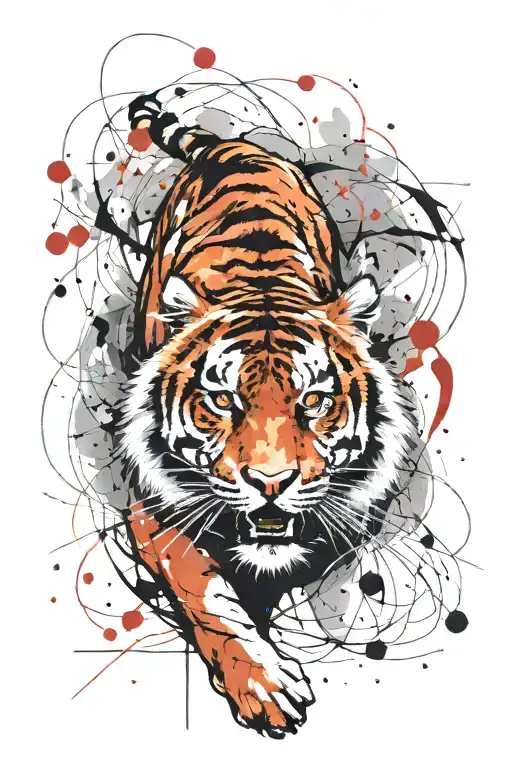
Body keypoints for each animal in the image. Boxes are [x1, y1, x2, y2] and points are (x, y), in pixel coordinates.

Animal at [117, 93, 418, 738]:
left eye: (314, 402)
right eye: (222, 402)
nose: (271, 484)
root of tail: (234, 146)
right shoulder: (151, 507)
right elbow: (208, 593)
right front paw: (265, 685)